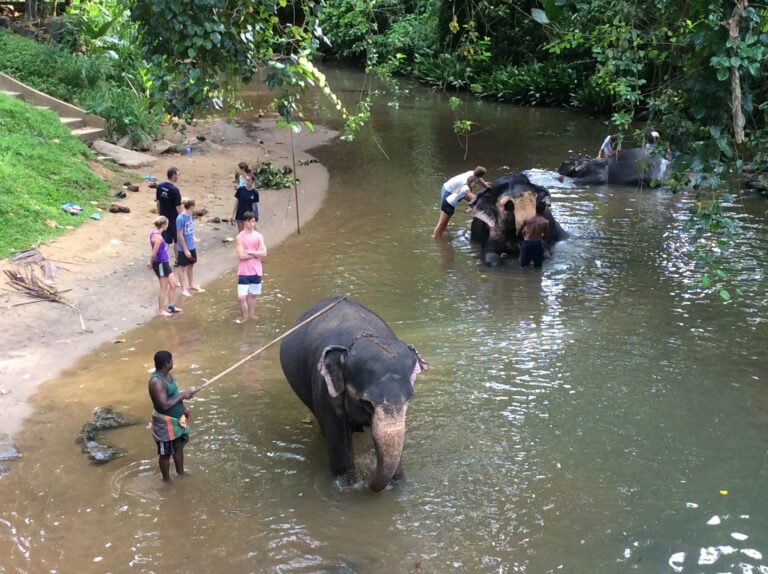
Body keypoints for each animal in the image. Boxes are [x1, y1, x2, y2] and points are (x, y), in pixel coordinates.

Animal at [280, 300, 428, 492]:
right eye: (366, 403)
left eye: (408, 401)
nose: (367, 481)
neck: (361, 336)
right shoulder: (325, 389)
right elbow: (338, 441)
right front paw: (348, 483)